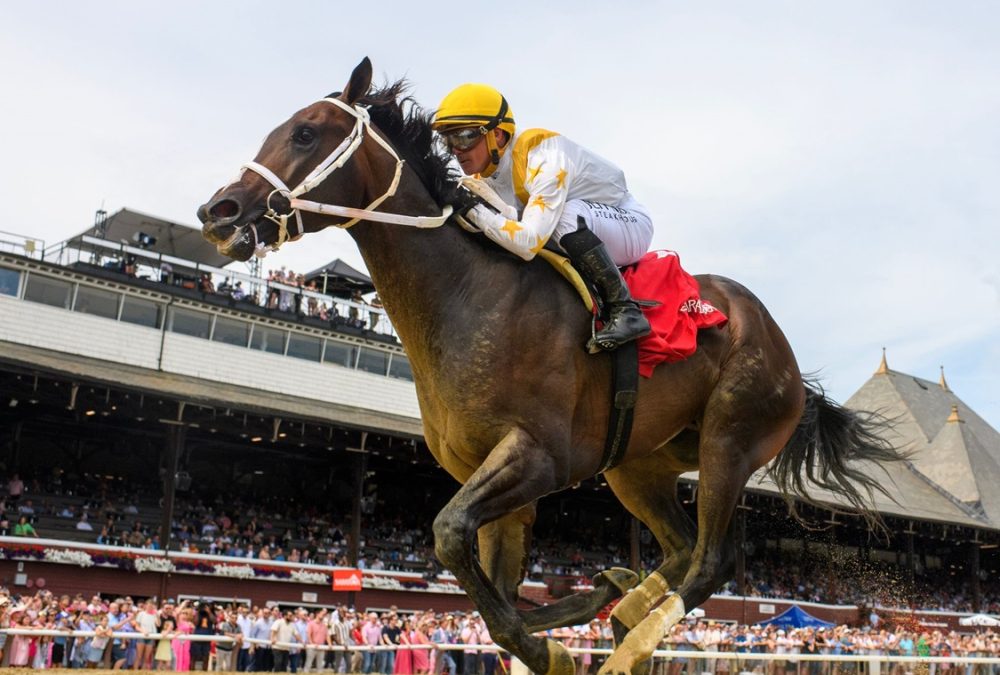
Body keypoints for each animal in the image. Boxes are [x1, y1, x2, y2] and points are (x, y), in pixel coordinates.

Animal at [197, 59, 900, 675]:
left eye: (305, 132)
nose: (218, 212)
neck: (466, 296)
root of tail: (786, 355)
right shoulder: (487, 475)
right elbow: (492, 589)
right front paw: (582, 609)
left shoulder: (538, 458)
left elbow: (453, 539)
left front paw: (558, 645)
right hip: (637, 465)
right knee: (677, 549)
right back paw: (624, 608)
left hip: (730, 438)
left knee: (714, 560)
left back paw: (628, 646)